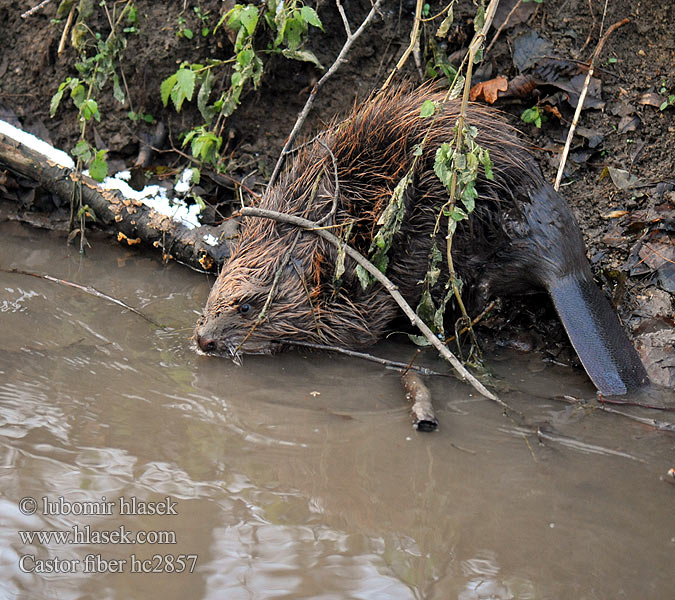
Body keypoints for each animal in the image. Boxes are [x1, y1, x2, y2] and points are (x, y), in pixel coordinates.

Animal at [194, 84, 648, 394]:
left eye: (247, 305)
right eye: (215, 292)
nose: (203, 338)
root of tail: (568, 268)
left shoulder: (366, 290)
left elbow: (356, 328)